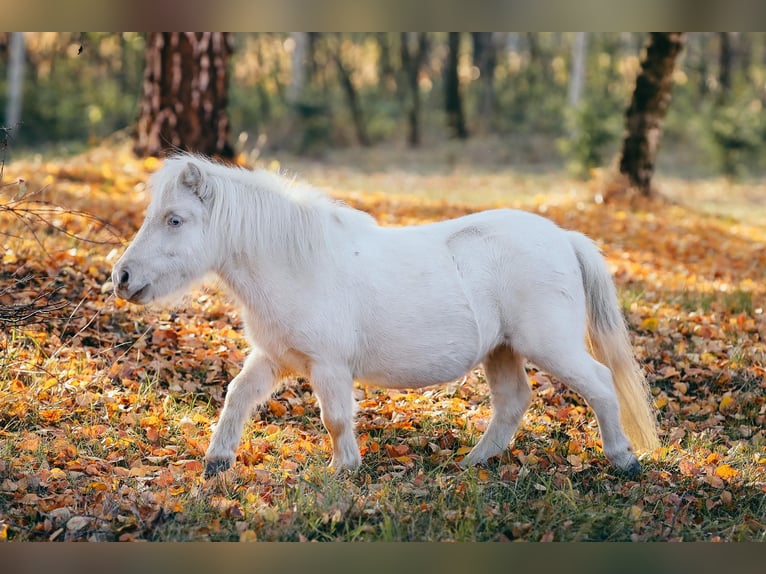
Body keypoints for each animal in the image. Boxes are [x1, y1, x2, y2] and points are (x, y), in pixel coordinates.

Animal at [112, 155, 660, 480]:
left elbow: (334, 418)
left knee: (600, 383)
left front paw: (343, 469)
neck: (298, 262)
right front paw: (217, 461)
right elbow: (237, 396)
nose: (121, 277)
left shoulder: (327, 367)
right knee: (512, 402)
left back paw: (624, 460)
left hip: (551, 346)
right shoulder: (274, 358)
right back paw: (473, 462)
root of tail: (563, 237)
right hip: (501, 350)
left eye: (175, 220)